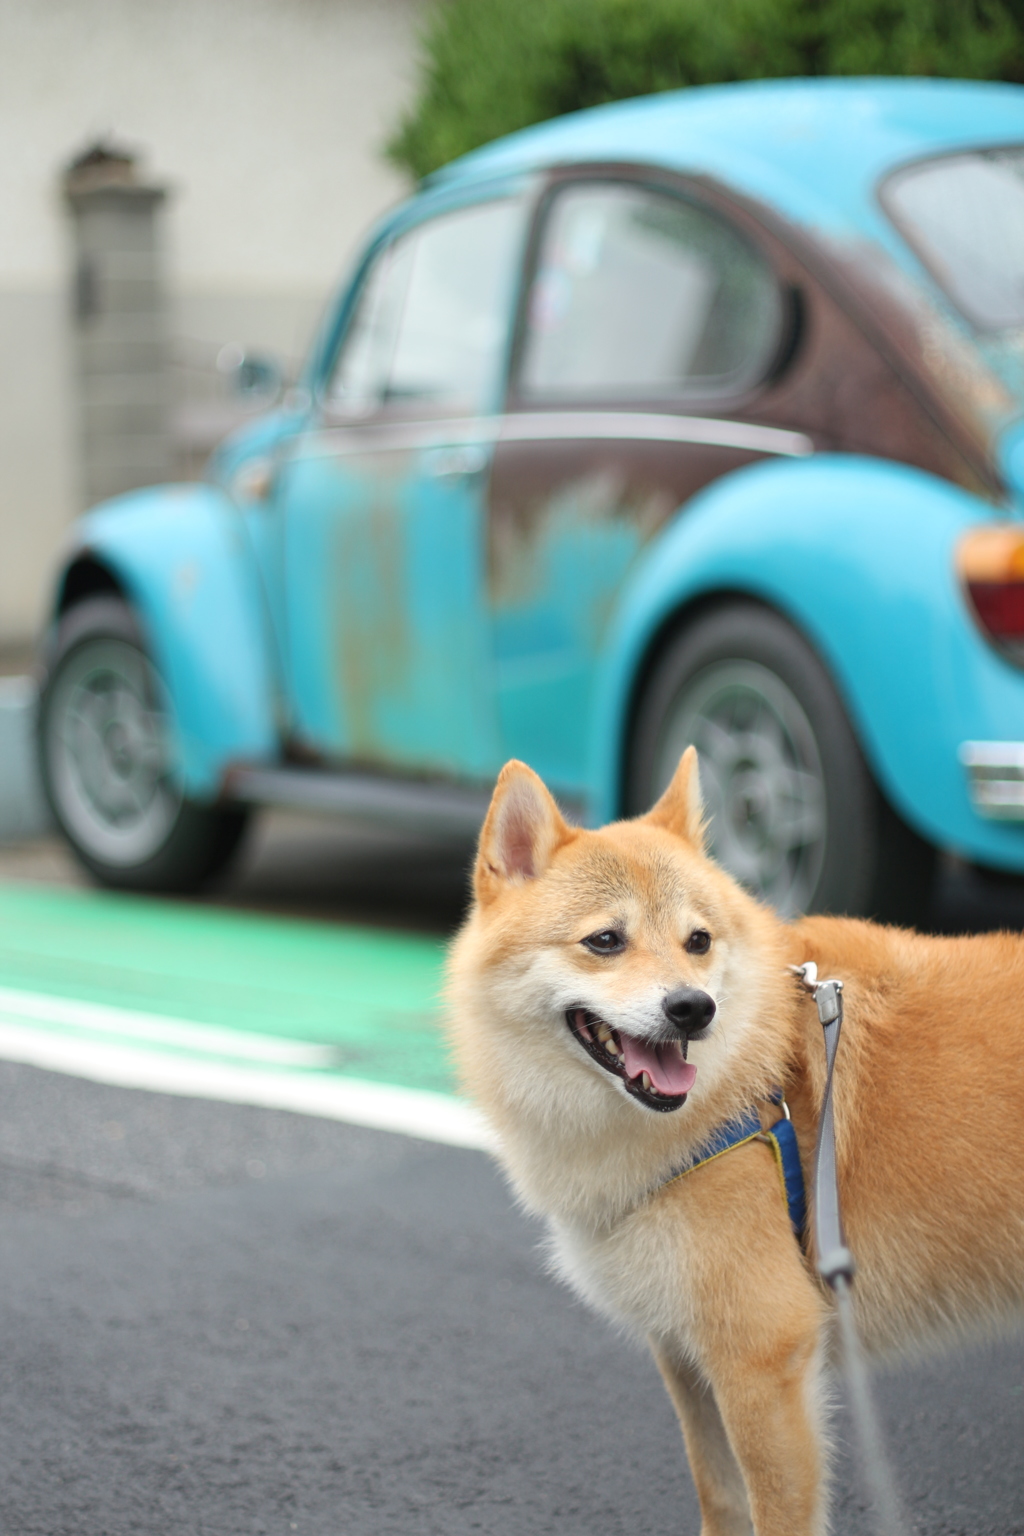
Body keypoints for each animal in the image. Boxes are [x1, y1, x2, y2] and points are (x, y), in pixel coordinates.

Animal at [451, 749, 1024, 1536]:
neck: (755, 1084)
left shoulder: (762, 1359)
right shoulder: (688, 1356)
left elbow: (775, 1512)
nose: (693, 1008)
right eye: (605, 941)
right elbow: (720, 1496)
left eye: (698, 941)